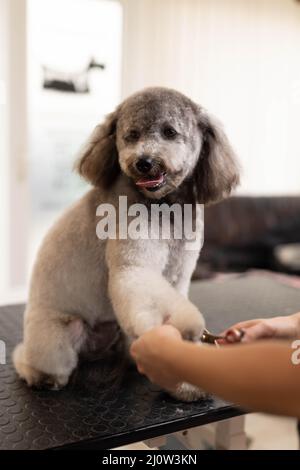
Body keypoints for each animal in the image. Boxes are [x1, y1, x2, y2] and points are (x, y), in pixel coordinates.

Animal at [13, 87, 239, 400]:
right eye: (131, 135)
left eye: (169, 132)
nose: (144, 162)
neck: (165, 207)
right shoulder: (134, 268)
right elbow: (140, 281)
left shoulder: (179, 275)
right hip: (59, 335)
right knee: (35, 361)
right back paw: (39, 375)